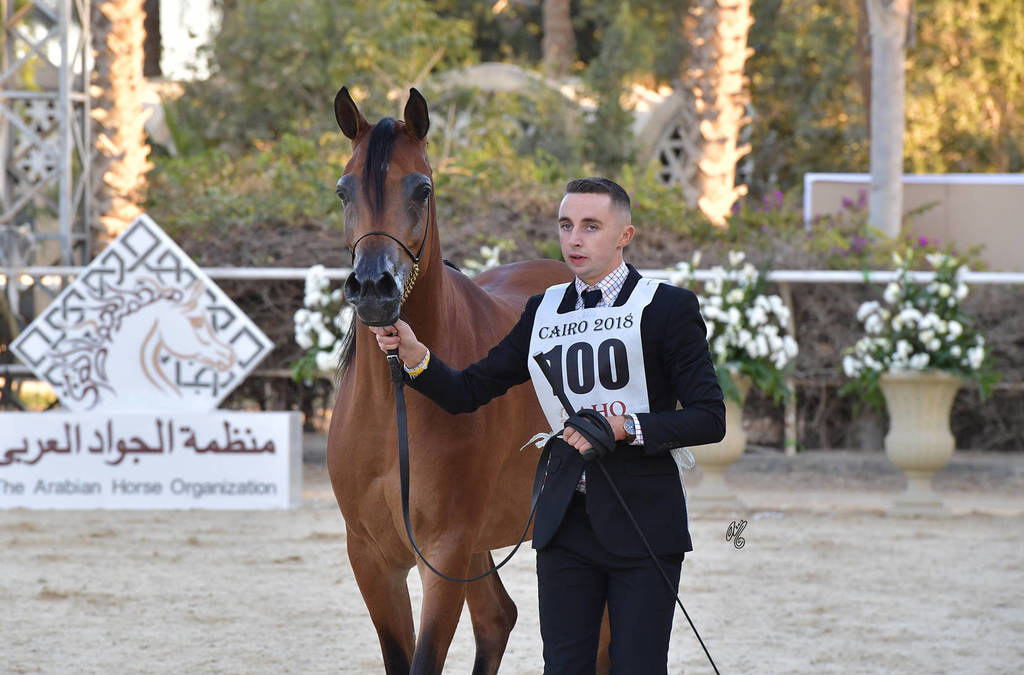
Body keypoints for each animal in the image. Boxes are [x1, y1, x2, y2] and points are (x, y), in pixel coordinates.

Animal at [326, 87, 577, 674]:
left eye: (422, 189)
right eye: (344, 190)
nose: (373, 288)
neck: (392, 411)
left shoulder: (444, 553)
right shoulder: (372, 559)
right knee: (497, 618)